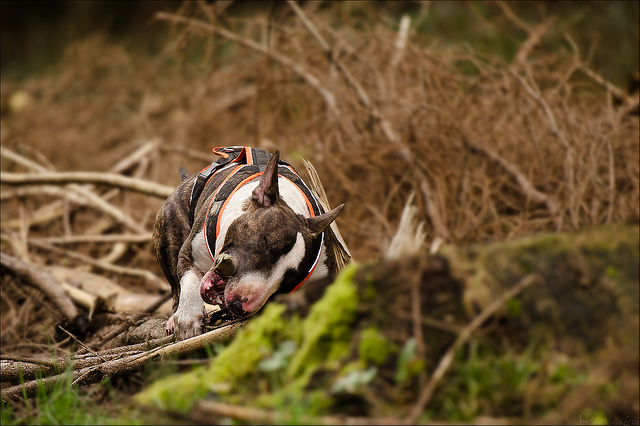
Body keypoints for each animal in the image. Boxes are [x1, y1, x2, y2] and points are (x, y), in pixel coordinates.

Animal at [152, 146, 348, 340]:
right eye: (264, 242)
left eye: (291, 276)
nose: (239, 305)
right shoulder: (188, 254)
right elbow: (189, 279)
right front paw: (188, 317)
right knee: (175, 287)